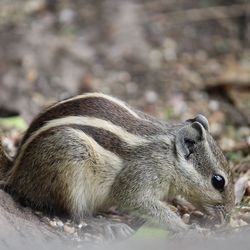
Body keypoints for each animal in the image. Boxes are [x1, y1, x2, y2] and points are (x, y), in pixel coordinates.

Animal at [0, 93, 234, 232]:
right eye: (218, 181)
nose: (229, 215)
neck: (169, 157)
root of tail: (15, 170)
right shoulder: (141, 175)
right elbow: (132, 199)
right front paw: (183, 226)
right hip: (70, 165)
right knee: (75, 215)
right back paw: (106, 224)